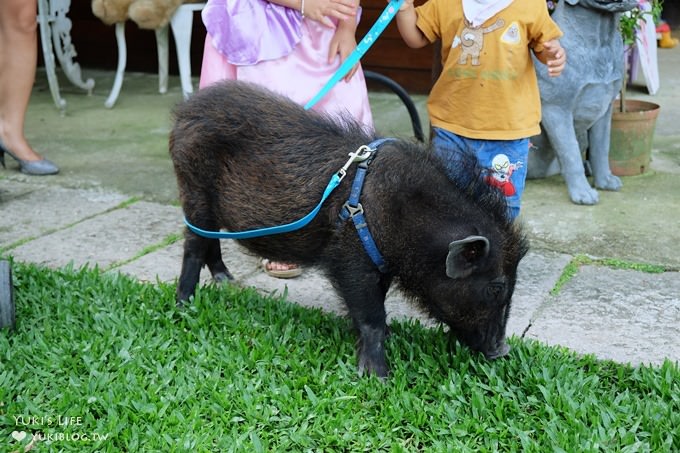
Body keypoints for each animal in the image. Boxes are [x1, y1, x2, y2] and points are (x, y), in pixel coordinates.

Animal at [170, 79, 532, 376]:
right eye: (496, 287)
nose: (503, 351)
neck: (407, 217)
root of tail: (184, 111)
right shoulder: (350, 257)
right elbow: (371, 315)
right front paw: (377, 375)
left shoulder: (380, 264)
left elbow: (378, 305)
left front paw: (387, 340)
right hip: (194, 190)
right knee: (194, 244)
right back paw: (184, 304)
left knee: (210, 242)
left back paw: (227, 282)